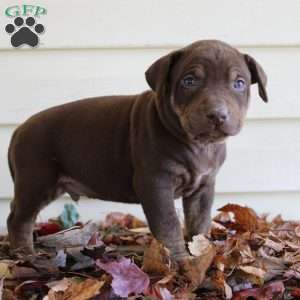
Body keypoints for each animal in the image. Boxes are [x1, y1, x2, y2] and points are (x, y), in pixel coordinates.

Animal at [6, 39, 268, 260]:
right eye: (189, 81)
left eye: (239, 83)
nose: (217, 114)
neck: (197, 144)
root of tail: (18, 130)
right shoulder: (156, 182)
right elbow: (169, 224)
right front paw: (180, 261)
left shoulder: (204, 186)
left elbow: (199, 222)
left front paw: (200, 252)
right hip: (36, 180)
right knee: (19, 219)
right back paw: (24, 254)